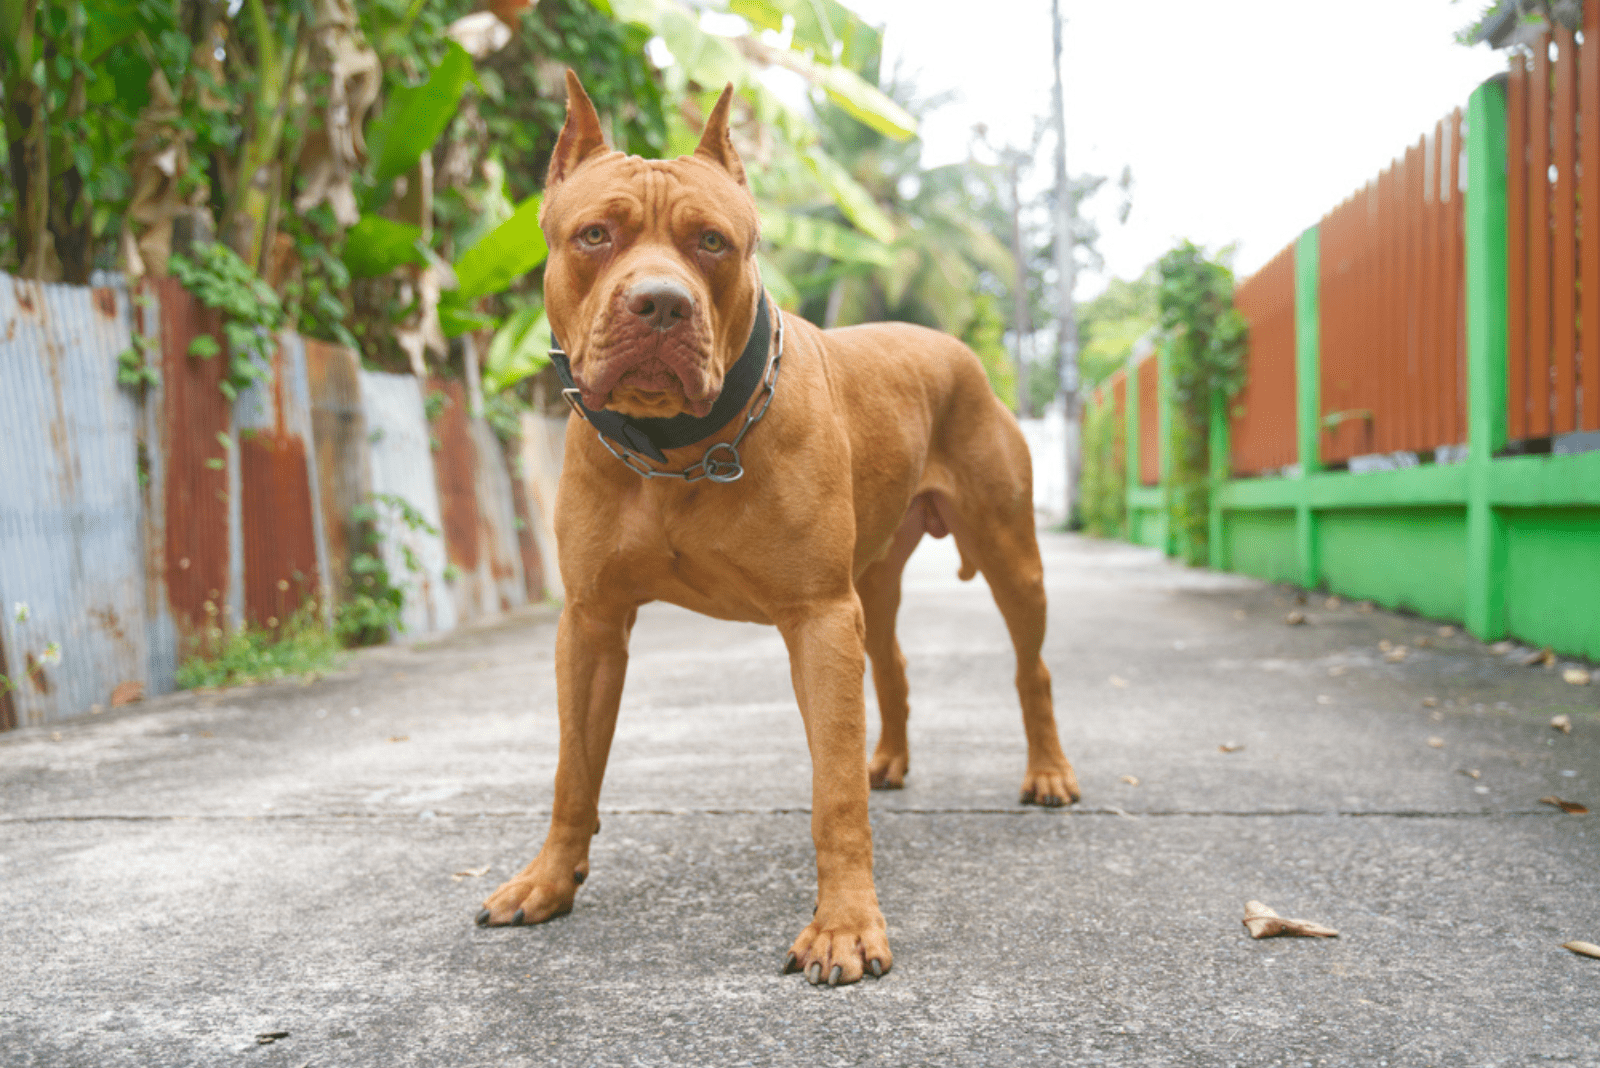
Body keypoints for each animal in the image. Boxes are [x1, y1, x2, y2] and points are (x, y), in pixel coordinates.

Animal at [470, 73, 1075, 984]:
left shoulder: (818, 618)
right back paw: (889, 760)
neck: (680, 449)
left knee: (1030, 667)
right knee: (892, 663)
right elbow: (574, 768)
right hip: (873, 580)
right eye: (595, 235)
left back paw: (1046, 772)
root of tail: (952, 345)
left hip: (1011, 558)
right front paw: (547, 879)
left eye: (713, 242)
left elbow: (833, 796)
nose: (660, 304)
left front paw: (845, 926)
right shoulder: (591, 624)